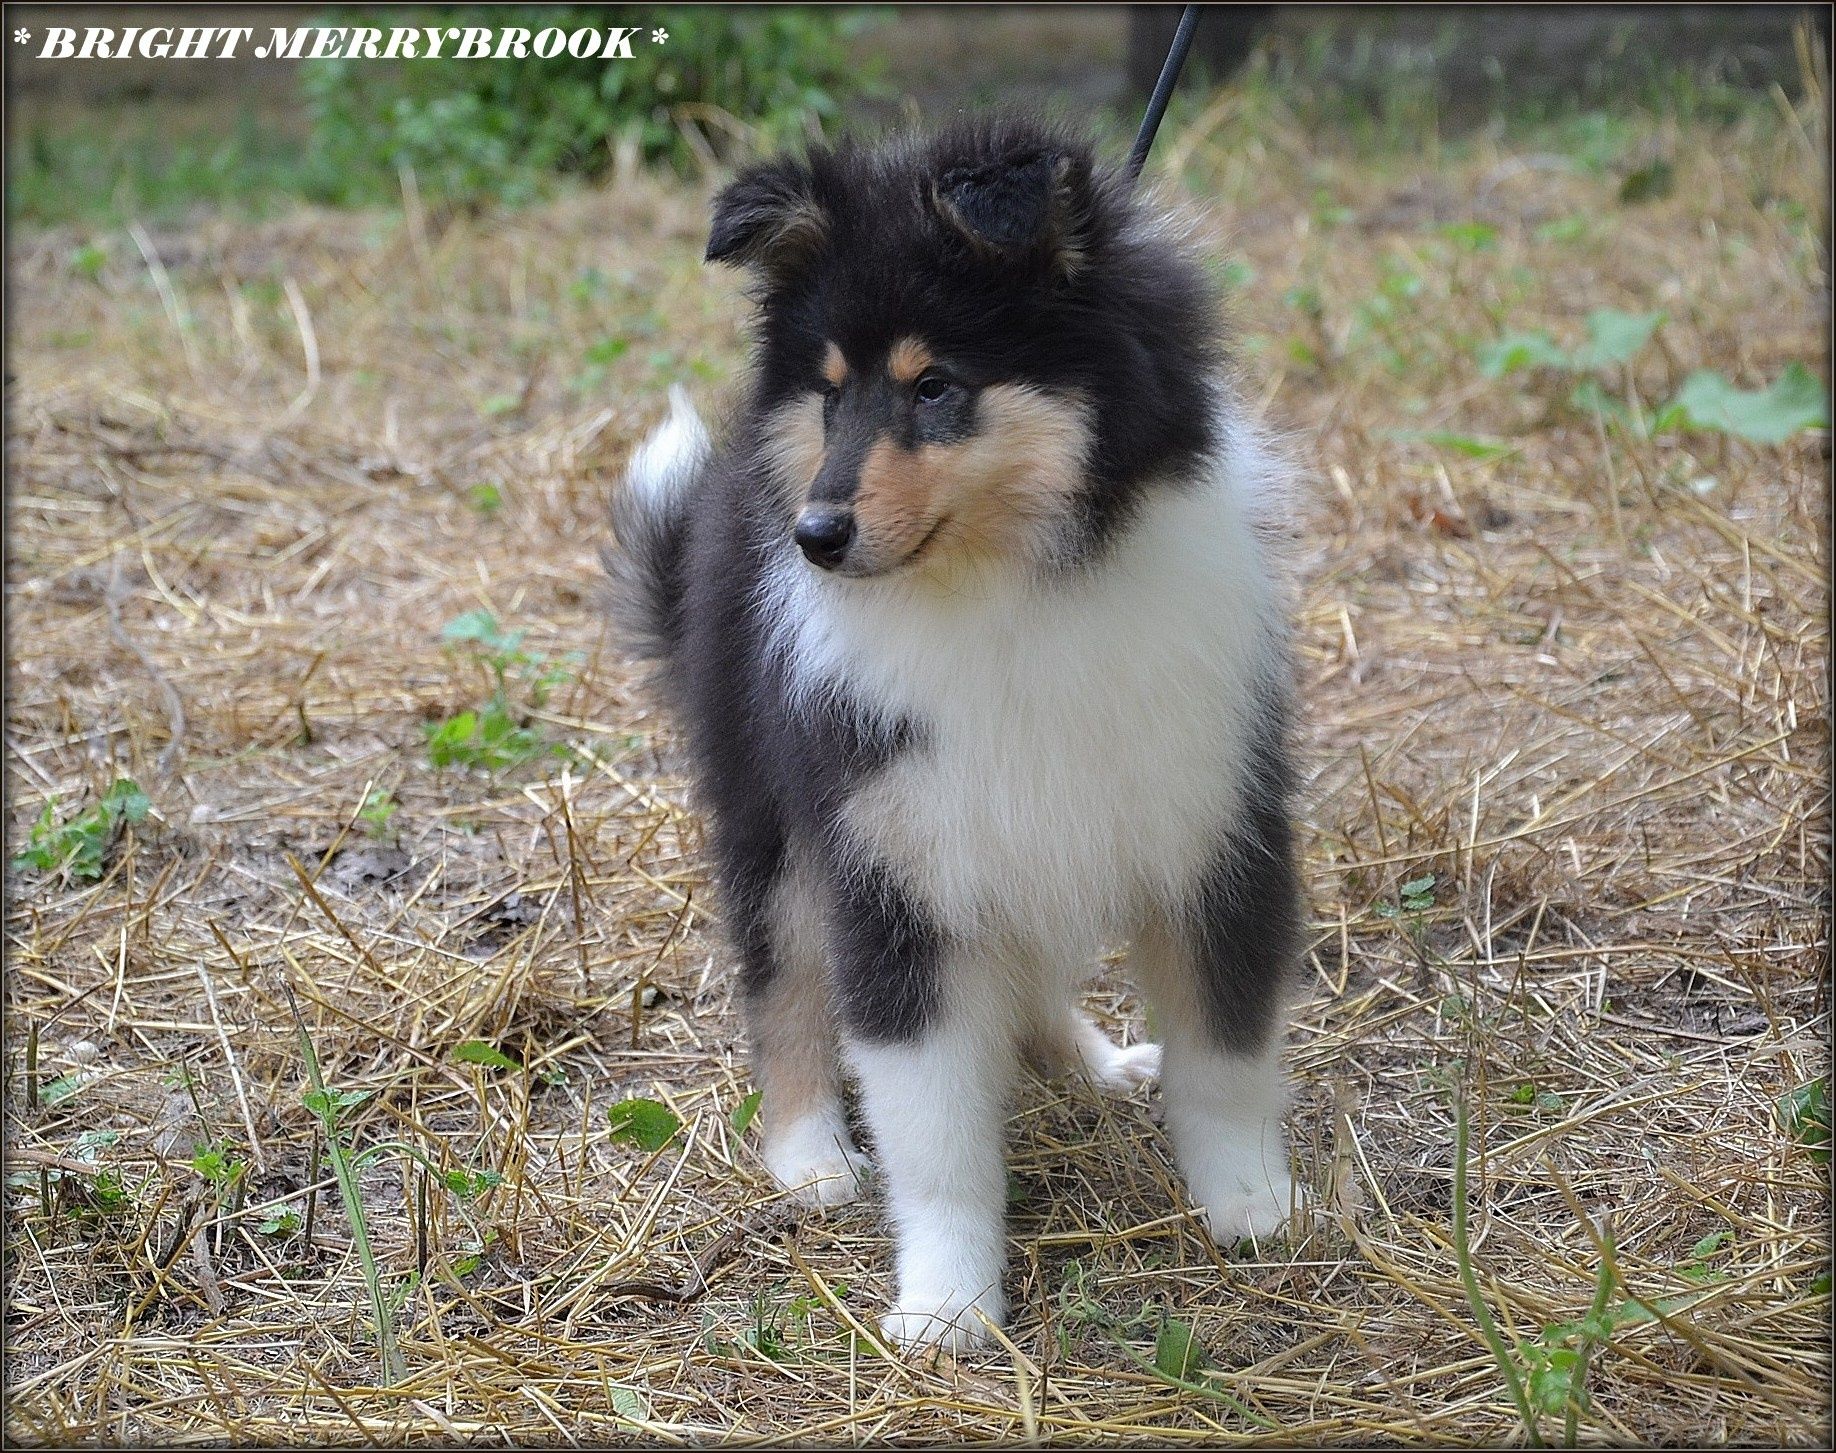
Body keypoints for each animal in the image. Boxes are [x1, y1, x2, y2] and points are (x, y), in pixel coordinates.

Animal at [609, 119, 1299, 1359]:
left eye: (935, 386)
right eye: (831, 395)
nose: (815, 535)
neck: (1008, 590)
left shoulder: (1215, 820)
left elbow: (1227, 1054)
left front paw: (1250, 1207)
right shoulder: (890, 866)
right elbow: (933, 1131)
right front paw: (946, 1305)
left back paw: (1095, 1062)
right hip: (777, 813)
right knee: (783, 985)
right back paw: (811, 1156)